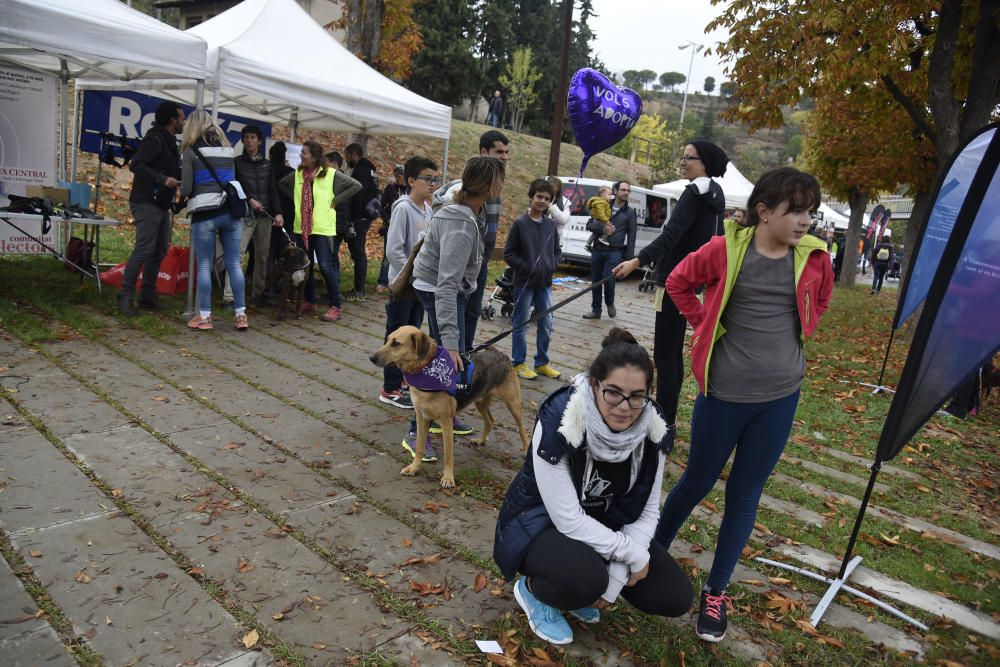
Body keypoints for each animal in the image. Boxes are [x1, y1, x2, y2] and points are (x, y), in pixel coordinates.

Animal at [372, 326, 532, 488]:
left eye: (396, 344)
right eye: (388, 340)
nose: (371, 358)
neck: (427, 369)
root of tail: (501, 353)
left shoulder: (446, 422)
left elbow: (448, 454)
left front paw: (448, 478)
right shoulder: (422, 417)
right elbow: (419, 447)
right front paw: (414, 467)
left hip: (513, 403)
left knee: (522, 428)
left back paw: (525, 449)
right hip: (480, 401)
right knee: (490, 420)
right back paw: (481, 440)